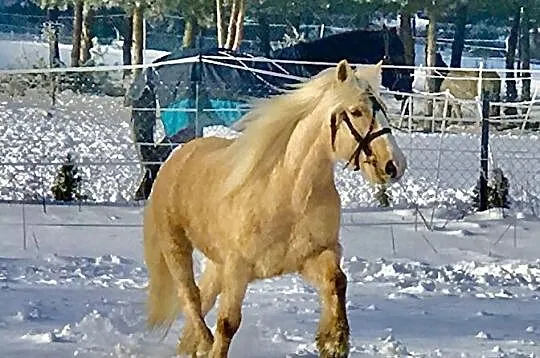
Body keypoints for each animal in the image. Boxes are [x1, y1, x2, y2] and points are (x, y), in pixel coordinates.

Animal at [141, 60, 408, 356]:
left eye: (381, 109)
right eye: (356, 111)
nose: (394, 165)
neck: (289, 195)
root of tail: (178, 157)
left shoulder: (314, 255)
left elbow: (337, 281)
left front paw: (333, 341)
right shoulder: (238, 268)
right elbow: (227, 324)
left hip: (216, 263)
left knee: (203, 297)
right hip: (176, 248)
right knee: (190, 298)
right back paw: (203, 343)